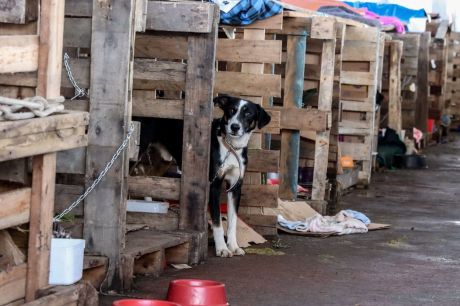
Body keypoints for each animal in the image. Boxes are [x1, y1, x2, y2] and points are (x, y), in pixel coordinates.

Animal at [211, 94, 272, 256]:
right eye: (231, 110)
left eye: (248, 114)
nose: (235, 127)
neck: (232, 148)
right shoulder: (213, 185)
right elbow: (217, 222)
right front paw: (222, 249)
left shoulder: (235, 187)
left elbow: (232, 221)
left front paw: (233, 246)